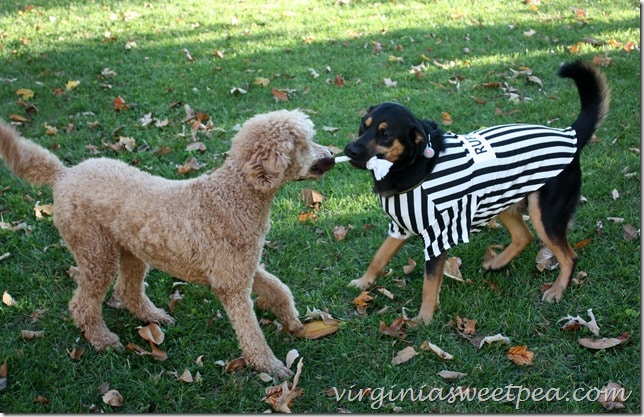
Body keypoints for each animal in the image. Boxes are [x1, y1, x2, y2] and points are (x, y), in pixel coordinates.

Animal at [342, 60, 608, 324]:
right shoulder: (399, 227)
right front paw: (363, 282)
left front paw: (424, 318)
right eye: (363, 126)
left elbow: (430, 283)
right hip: (500, 198)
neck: (414, 166)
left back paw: (557, 290)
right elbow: (378, 258)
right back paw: (497, 263)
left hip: (544, 215)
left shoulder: (438, 236)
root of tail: (570, 135)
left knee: (568, 257)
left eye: (385, 134)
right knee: (524, 236)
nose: (350, 150)